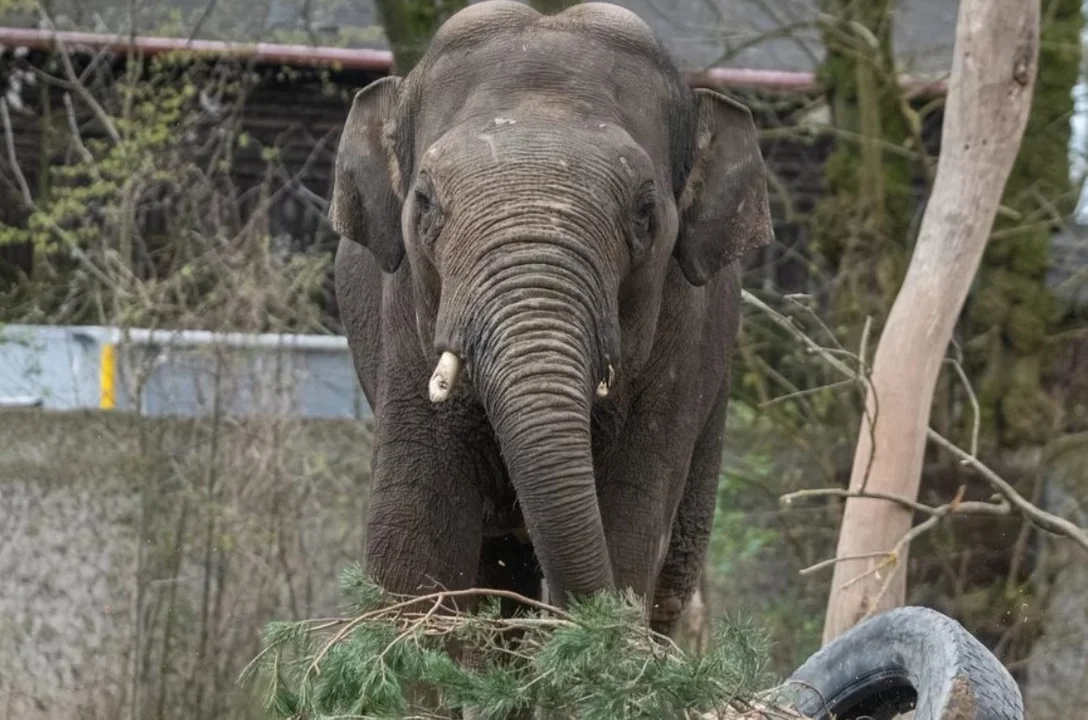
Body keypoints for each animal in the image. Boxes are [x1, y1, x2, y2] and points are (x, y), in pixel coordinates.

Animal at [328, 1, 774, 643]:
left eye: (645, 213)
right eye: (426, 205)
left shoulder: (683, 338)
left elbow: (629, 524)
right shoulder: (402, 323)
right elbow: (414, 542)